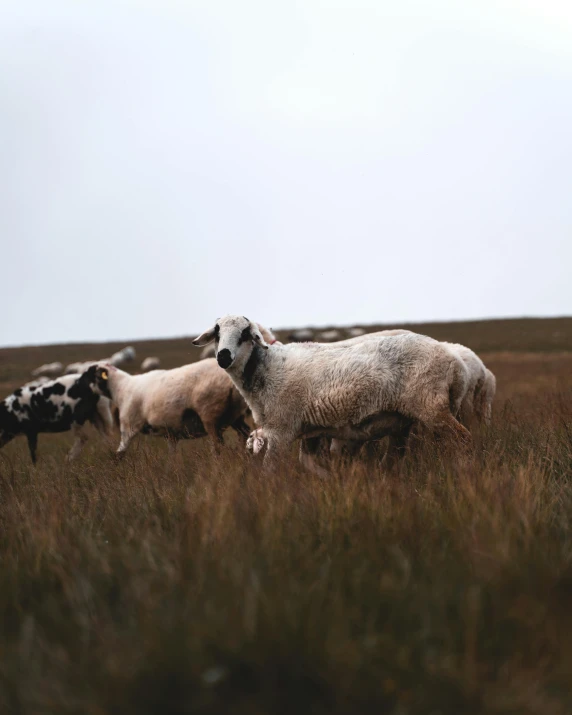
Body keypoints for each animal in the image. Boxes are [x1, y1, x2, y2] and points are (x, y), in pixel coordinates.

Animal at [89, 360, 250, 456]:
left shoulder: (128, 426)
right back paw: (245, 455)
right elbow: (172, 455)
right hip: (235, 415)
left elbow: (120, 453)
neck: (121, 388)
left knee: (218, 446)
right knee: (244, 433)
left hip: (210, 415)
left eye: (89, 375)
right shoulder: (171, 434)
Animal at [194, 314, 472, 472]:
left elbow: (269, 470)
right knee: (395, 456)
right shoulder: (310, 431)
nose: (223, 356)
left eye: (244, 334)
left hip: (432, 407)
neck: (265, 367)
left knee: (462, 439)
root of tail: (456, 362)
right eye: (217, 333)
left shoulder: (282, 430)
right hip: (404, 421)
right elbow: (308, 464)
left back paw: (463, 469)